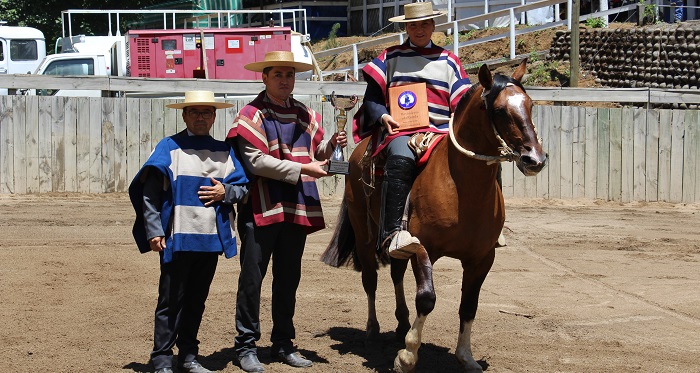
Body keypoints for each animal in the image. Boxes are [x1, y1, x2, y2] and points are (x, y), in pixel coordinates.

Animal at [322, 59, 548, 370]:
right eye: (500, 110)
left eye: (529, 104)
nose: (534, 159)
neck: (461, 189)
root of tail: (358, 154)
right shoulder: (424, 248)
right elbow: (427, 298)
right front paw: (407, 356)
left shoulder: (482, 258)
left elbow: (469, 305)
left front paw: (466, 357)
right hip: (364, 234)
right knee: (370, 279)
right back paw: (372, 331)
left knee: (395, 274)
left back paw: (401, 324)